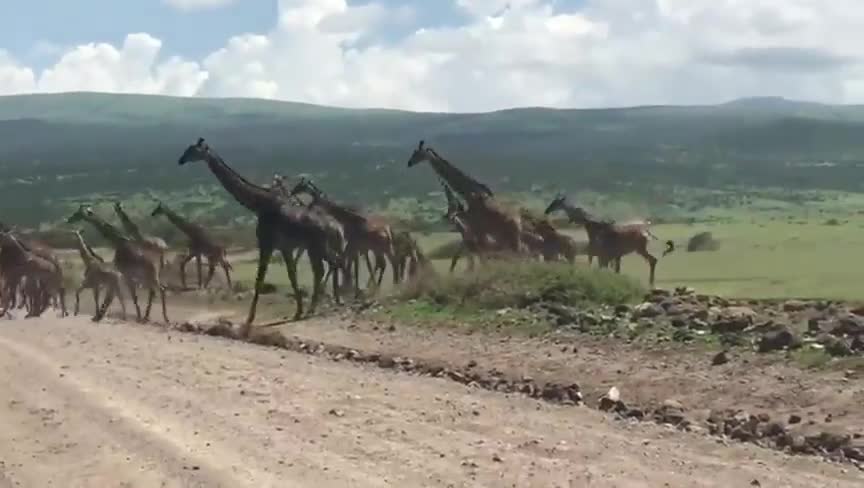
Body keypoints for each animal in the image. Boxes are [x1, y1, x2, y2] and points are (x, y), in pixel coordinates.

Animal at [177, 136, 342, 332]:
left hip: (317, 247)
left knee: (330, 265)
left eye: (193, 150)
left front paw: (249, 319)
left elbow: (260, 279)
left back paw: (326, 304)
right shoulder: (284, 247)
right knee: (325, 268)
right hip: (313, 248)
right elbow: (292, 275)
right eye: (187, 149)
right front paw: (297, 312)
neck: (258, 205)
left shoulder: (266, 243)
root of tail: (334, 227)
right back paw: (318, 307)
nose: (180, 160)